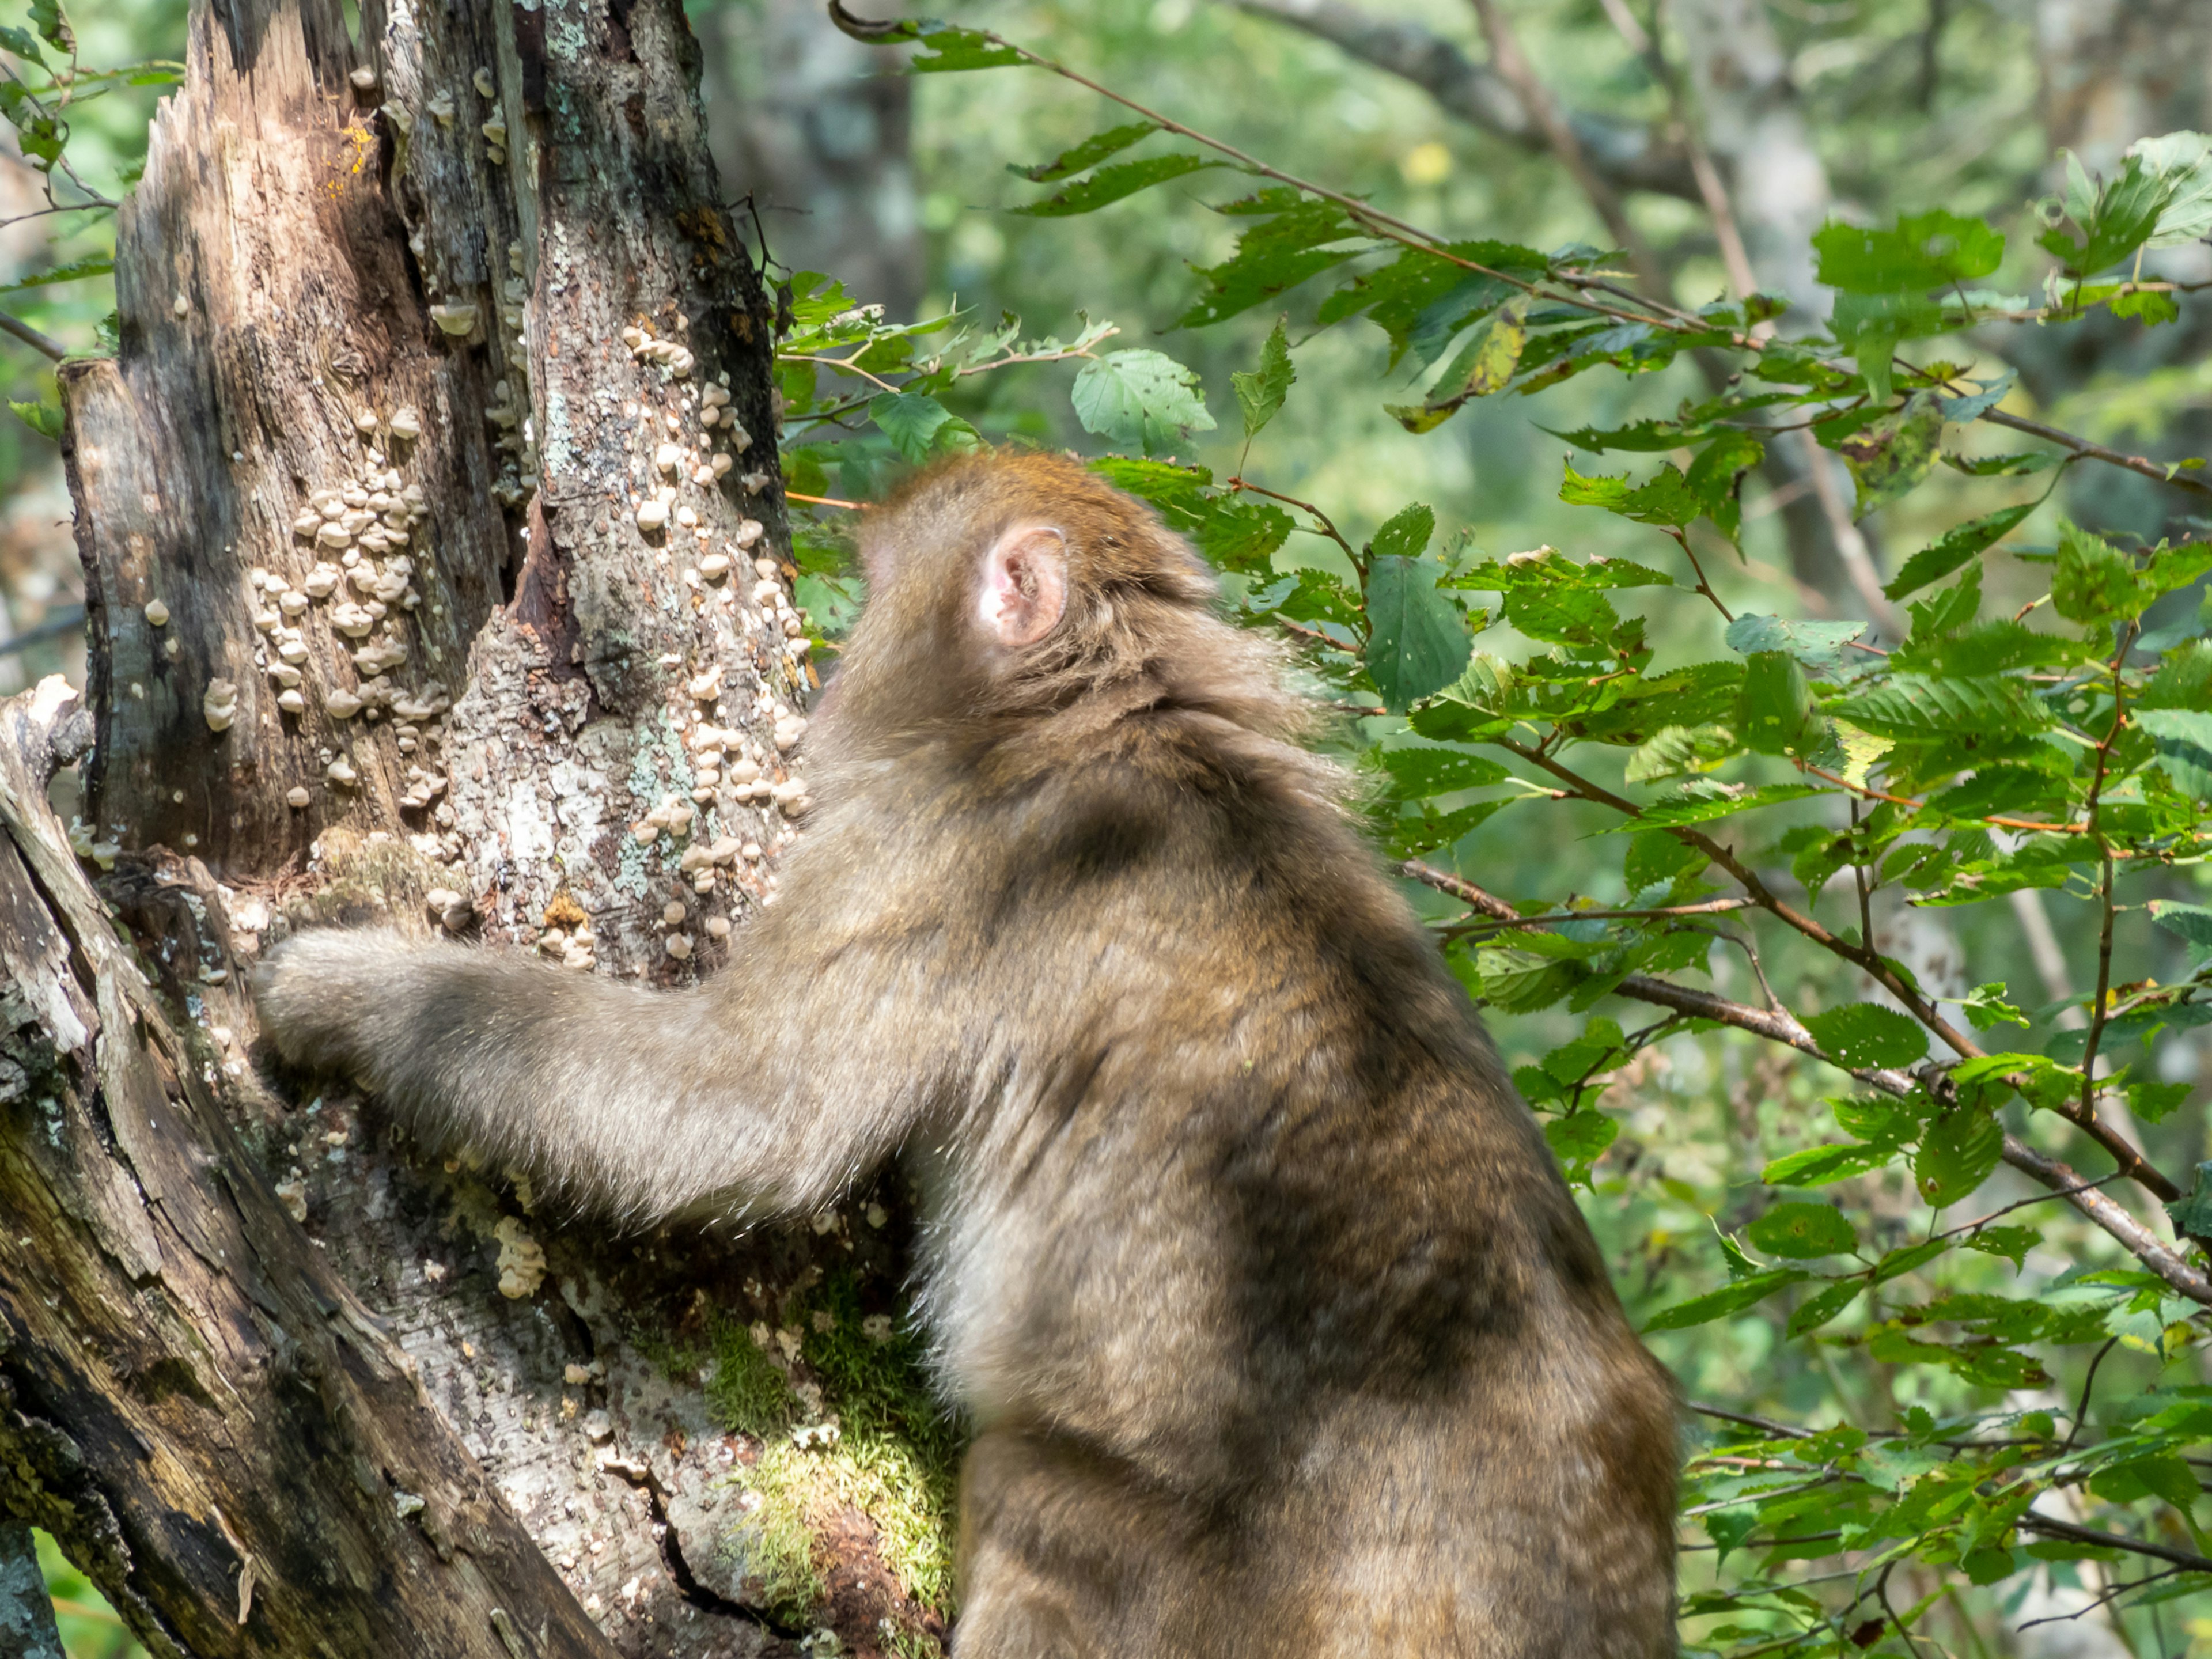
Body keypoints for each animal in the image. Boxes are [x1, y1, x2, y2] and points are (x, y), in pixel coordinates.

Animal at [254, 451, 1672, 1659]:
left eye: (880, 587)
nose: (823, 672)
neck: (1099, 706)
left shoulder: (925, 860)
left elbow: (733, 1113)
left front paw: (352, 989)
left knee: (1046, 1498)